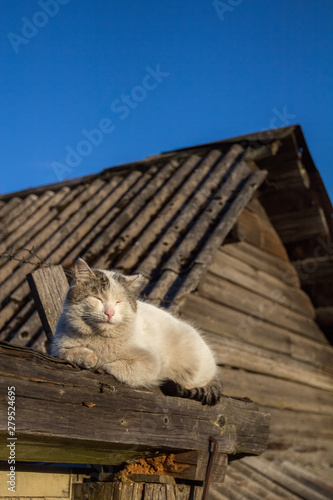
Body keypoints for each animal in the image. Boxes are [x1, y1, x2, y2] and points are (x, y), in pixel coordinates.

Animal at [51, 260, 220, 404]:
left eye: (119, 302)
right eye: (98, 299)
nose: (110, 313)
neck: (99, 338)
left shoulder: (152, 363)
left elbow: (115, 366)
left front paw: (102, 362)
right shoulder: (57, 347)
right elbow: (68, 352)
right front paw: (89, 357)